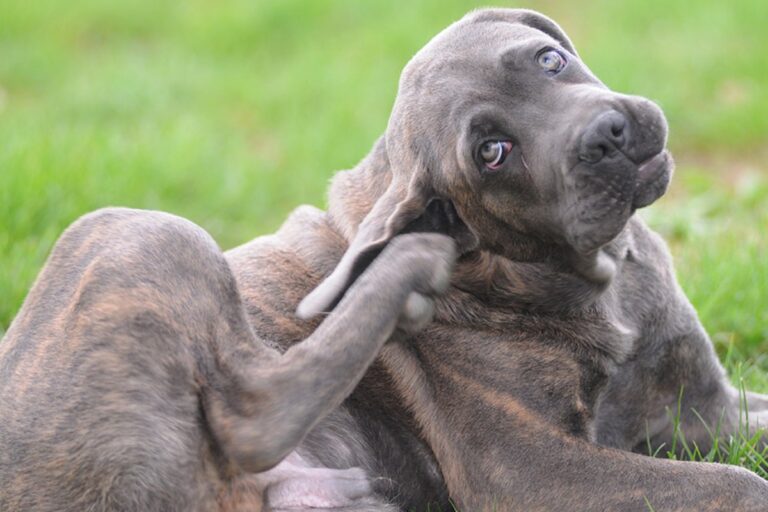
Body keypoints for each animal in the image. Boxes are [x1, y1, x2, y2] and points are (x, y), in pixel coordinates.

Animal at [1, 7, 768, 512]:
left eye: (550, 60)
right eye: (493, 152)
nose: (607, 134)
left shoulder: (707, 409)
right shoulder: (532, 471)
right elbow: (737, 485)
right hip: (138, 233)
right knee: (255, 412)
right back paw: (405, 266)